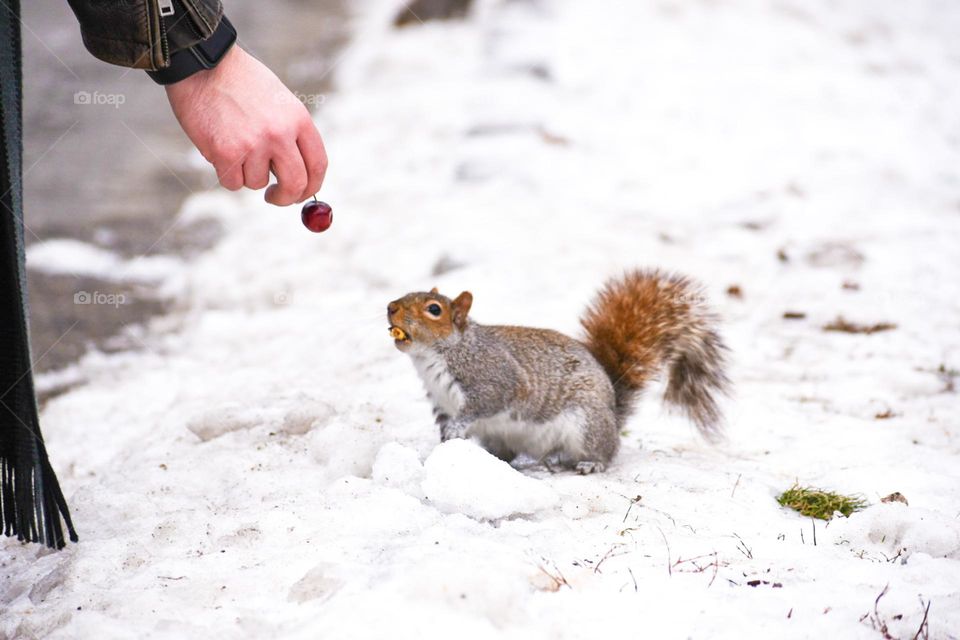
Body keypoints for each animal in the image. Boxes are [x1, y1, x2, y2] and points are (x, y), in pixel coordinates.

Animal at [386, 268, 732, 472]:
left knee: (605, 452)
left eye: (434, 310)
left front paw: (458, 430)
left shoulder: (492, 377)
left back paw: (587, 463)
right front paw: (445, 448)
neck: (436, 355)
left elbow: (485, 403)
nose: (390, 307)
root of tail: (612, 413)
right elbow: (445, 424)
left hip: (585, 425)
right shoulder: (439, 400)